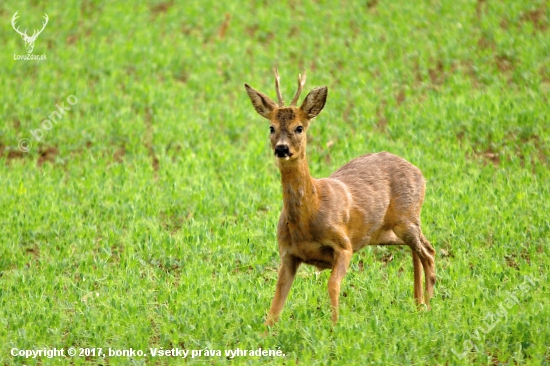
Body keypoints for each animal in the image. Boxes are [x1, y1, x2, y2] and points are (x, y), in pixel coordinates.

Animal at [245, 70, 436, 324]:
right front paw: (265, 331)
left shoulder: (344, 245)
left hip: (407, 216)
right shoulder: (288, 254)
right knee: (417, 248)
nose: (282, 149)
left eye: (299, 127)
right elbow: (275, 306)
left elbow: (332, 285)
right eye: (271, 127)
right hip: (385, 231)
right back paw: (418, 302)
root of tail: (419, 173)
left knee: (428, 251)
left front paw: (335, 325)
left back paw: (430, 302)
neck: (308, 216)